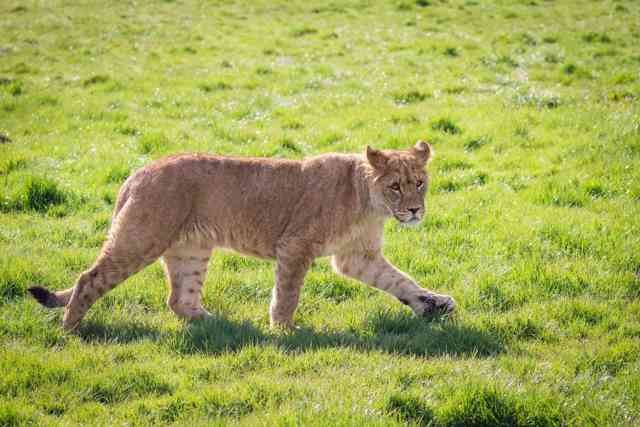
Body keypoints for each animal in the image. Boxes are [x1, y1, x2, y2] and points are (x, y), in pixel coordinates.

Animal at [30, 143, 456, 332]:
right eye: (396, 186)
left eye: (420, 183)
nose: (415, 210)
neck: (371, 203)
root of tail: (137, 173)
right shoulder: (295, 247)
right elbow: (288, 293)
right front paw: (284, 331)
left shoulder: (357, 257)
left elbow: (400, 281)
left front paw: (432, 305)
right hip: (141, 239)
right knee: (89, 278)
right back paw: (71, 329)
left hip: (192, 250)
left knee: (178, 299)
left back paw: (217, 324)